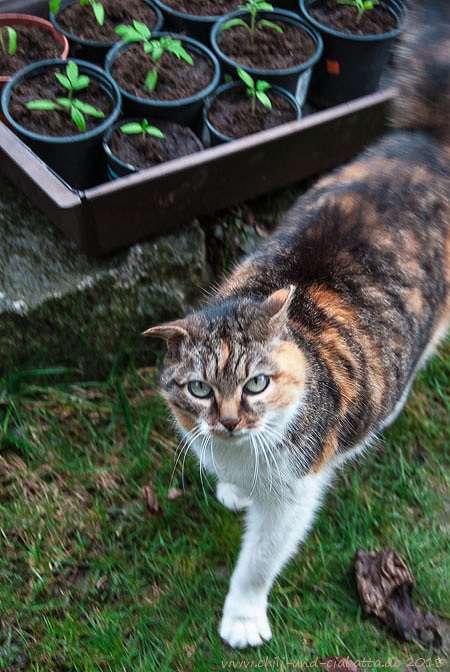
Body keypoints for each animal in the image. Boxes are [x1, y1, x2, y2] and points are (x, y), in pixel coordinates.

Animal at [146, 0, 448, 652]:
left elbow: (258, 561)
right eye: (199, 388)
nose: (228, 421)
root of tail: (428, 141)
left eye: (256, 383)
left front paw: (242, 619)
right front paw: (230, 489)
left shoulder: (294, 495)